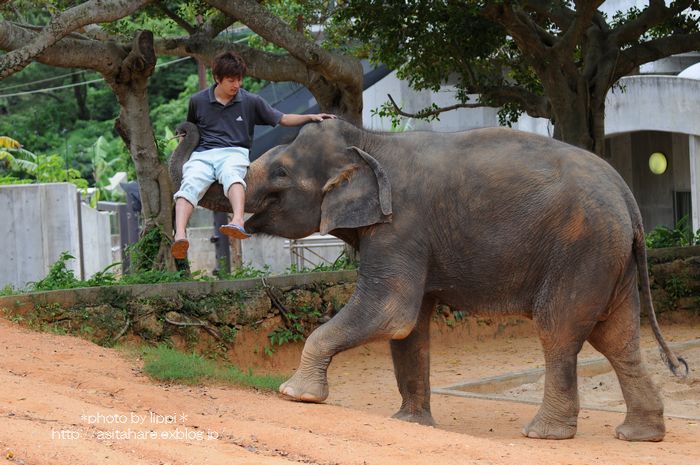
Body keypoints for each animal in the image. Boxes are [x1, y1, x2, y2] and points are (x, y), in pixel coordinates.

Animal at [168, 118, 684, 440]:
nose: (185, 125)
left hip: (582, 249)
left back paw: (543, 434)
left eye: (279, 173)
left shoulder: (401, 225)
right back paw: (639, 435)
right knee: (617, 338)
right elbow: (409, 326)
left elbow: (390, 311)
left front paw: (295, 395)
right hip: (610, 256)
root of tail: (627, 195)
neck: (370, 142)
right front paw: (410, 423)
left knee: (559, 331)